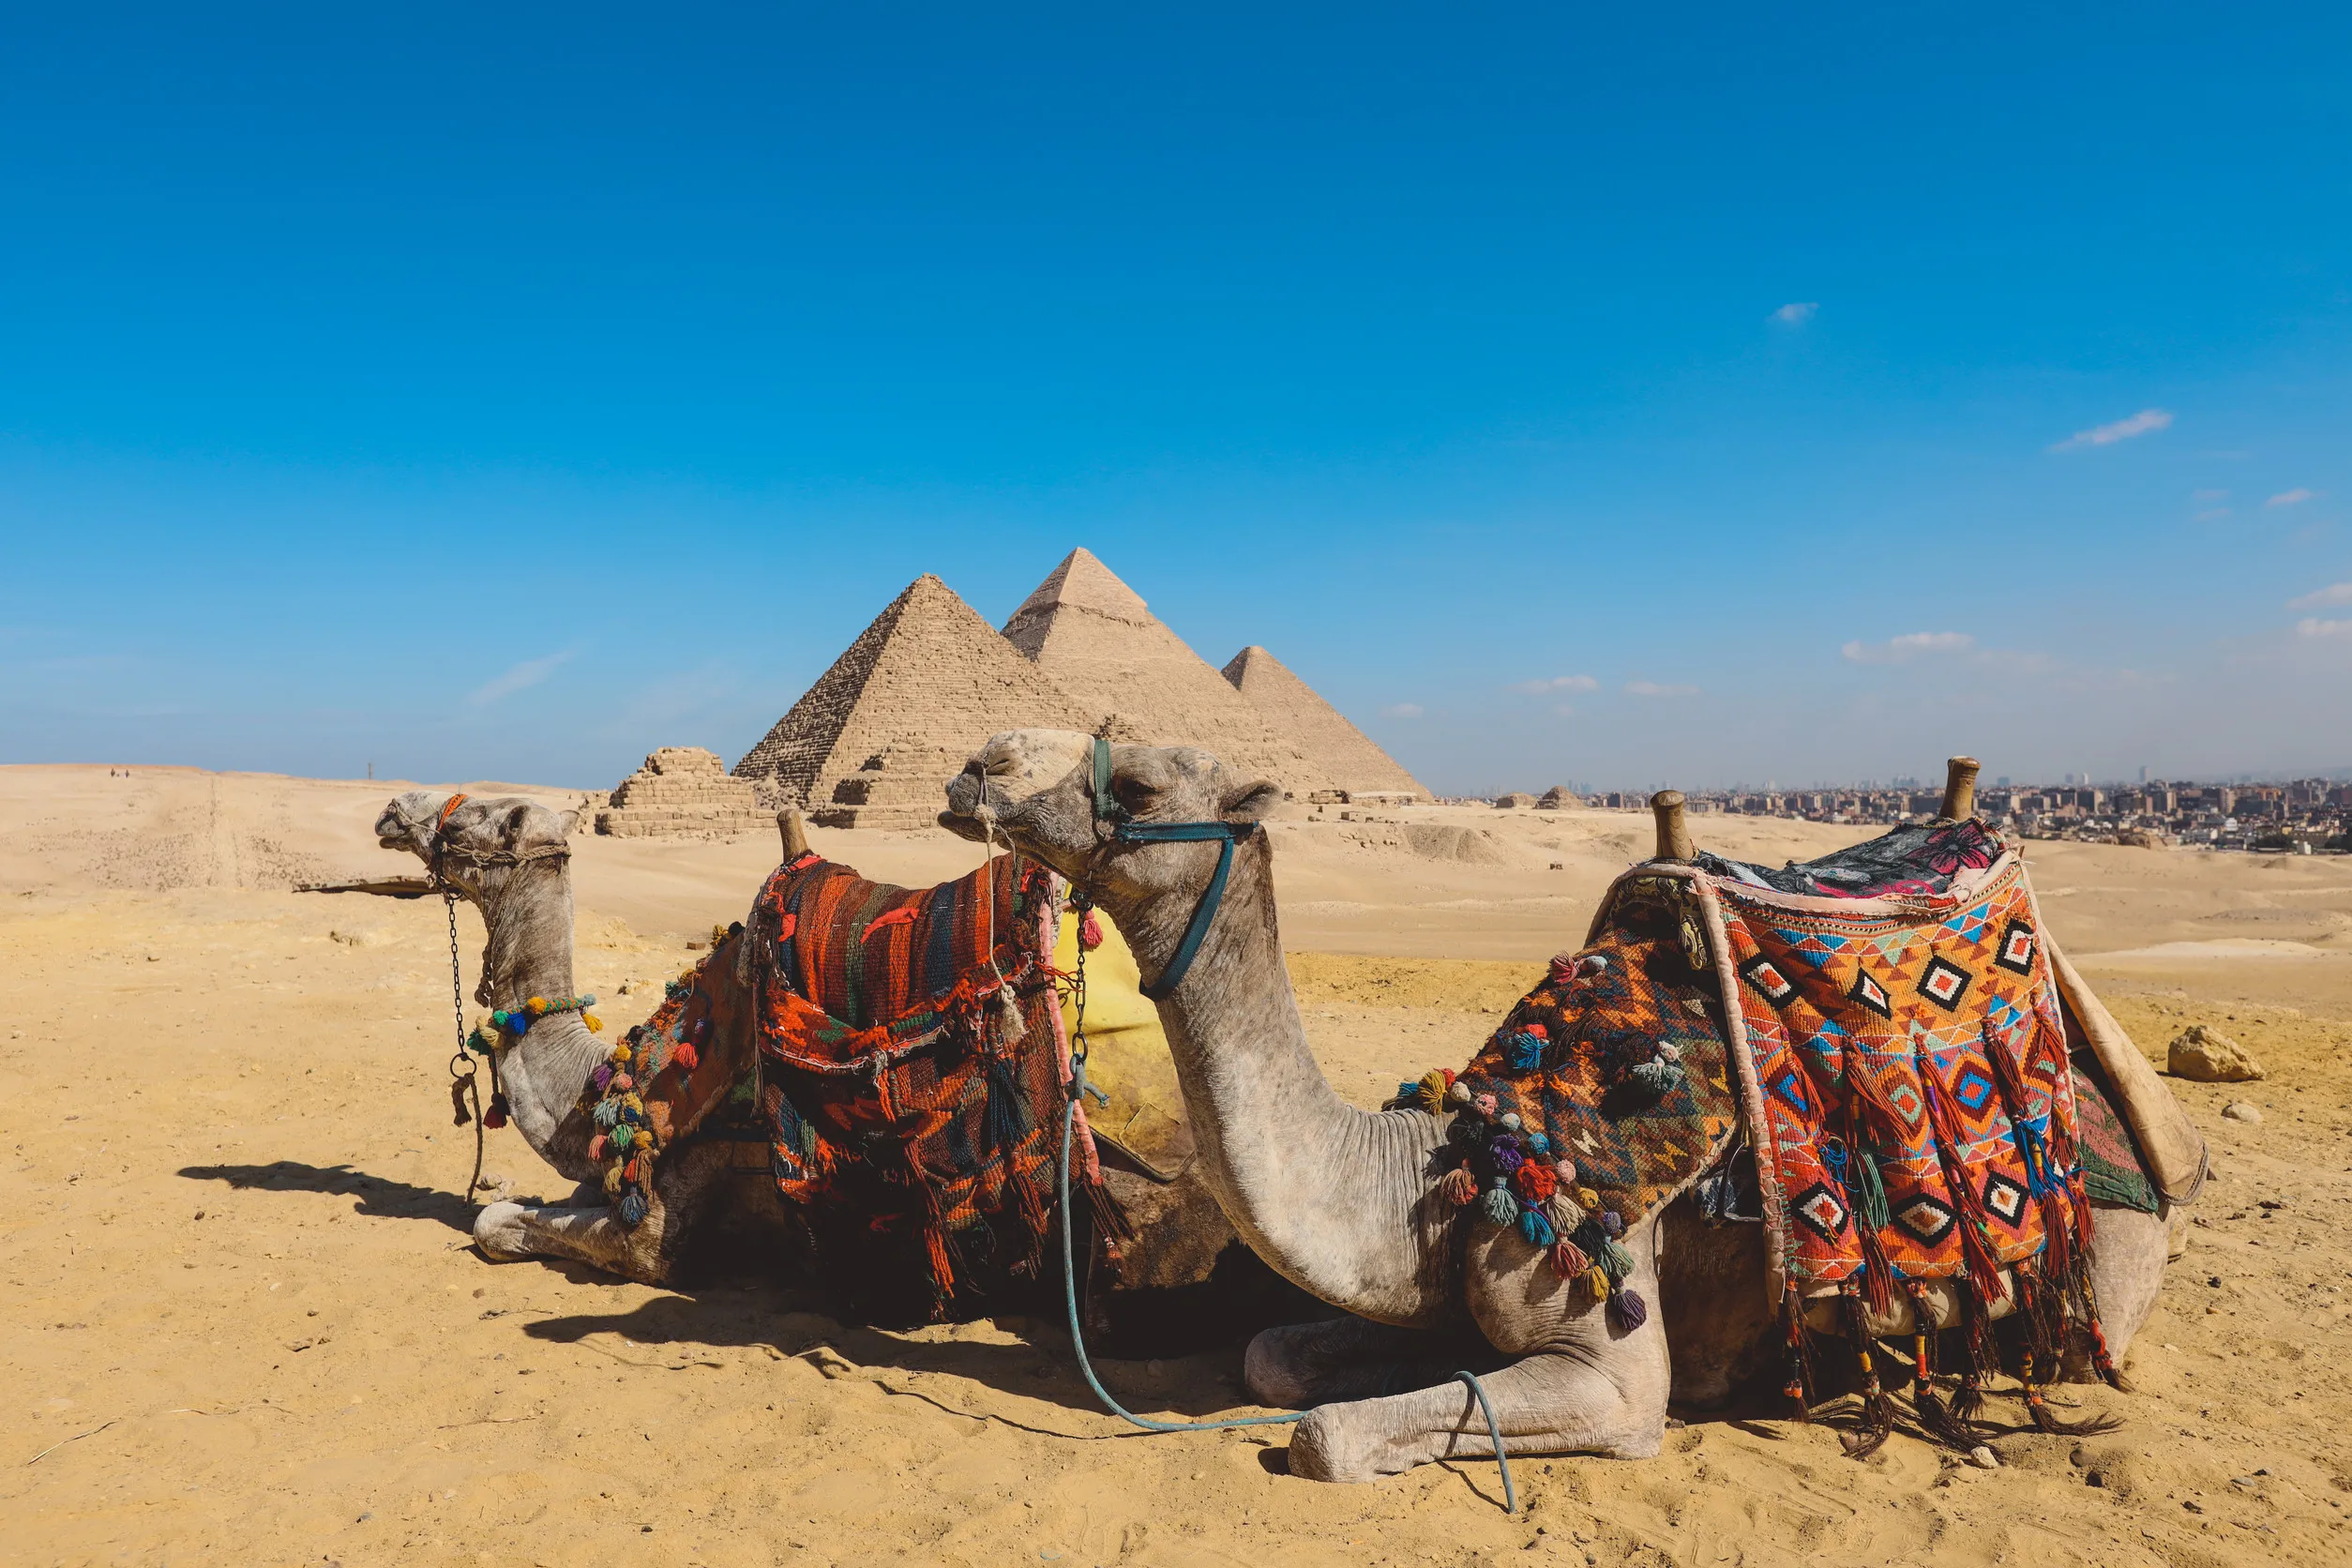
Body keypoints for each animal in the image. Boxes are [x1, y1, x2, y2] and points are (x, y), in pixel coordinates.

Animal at [936, 729, 2189, 1483]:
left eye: (1140, 787)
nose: (977, 766)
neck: (1453, 1164)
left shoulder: (1611, 1356)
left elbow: (1327, 1435)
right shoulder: (1445, 1284)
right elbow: (1274, 1362)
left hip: (2106, 1273)